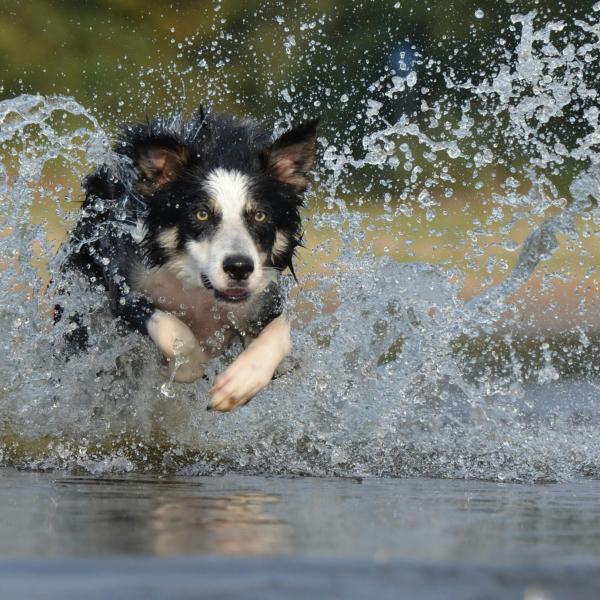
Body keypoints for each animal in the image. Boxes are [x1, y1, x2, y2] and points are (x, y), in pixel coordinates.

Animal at [56, 105, 318, 410]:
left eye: (260, 215)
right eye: (201, 214)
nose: (239, 268)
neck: (199, 290)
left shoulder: (263, 299)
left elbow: (280, 333)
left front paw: (239, 383)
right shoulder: (124, 287)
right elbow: (171, 328)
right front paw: (188, 365)